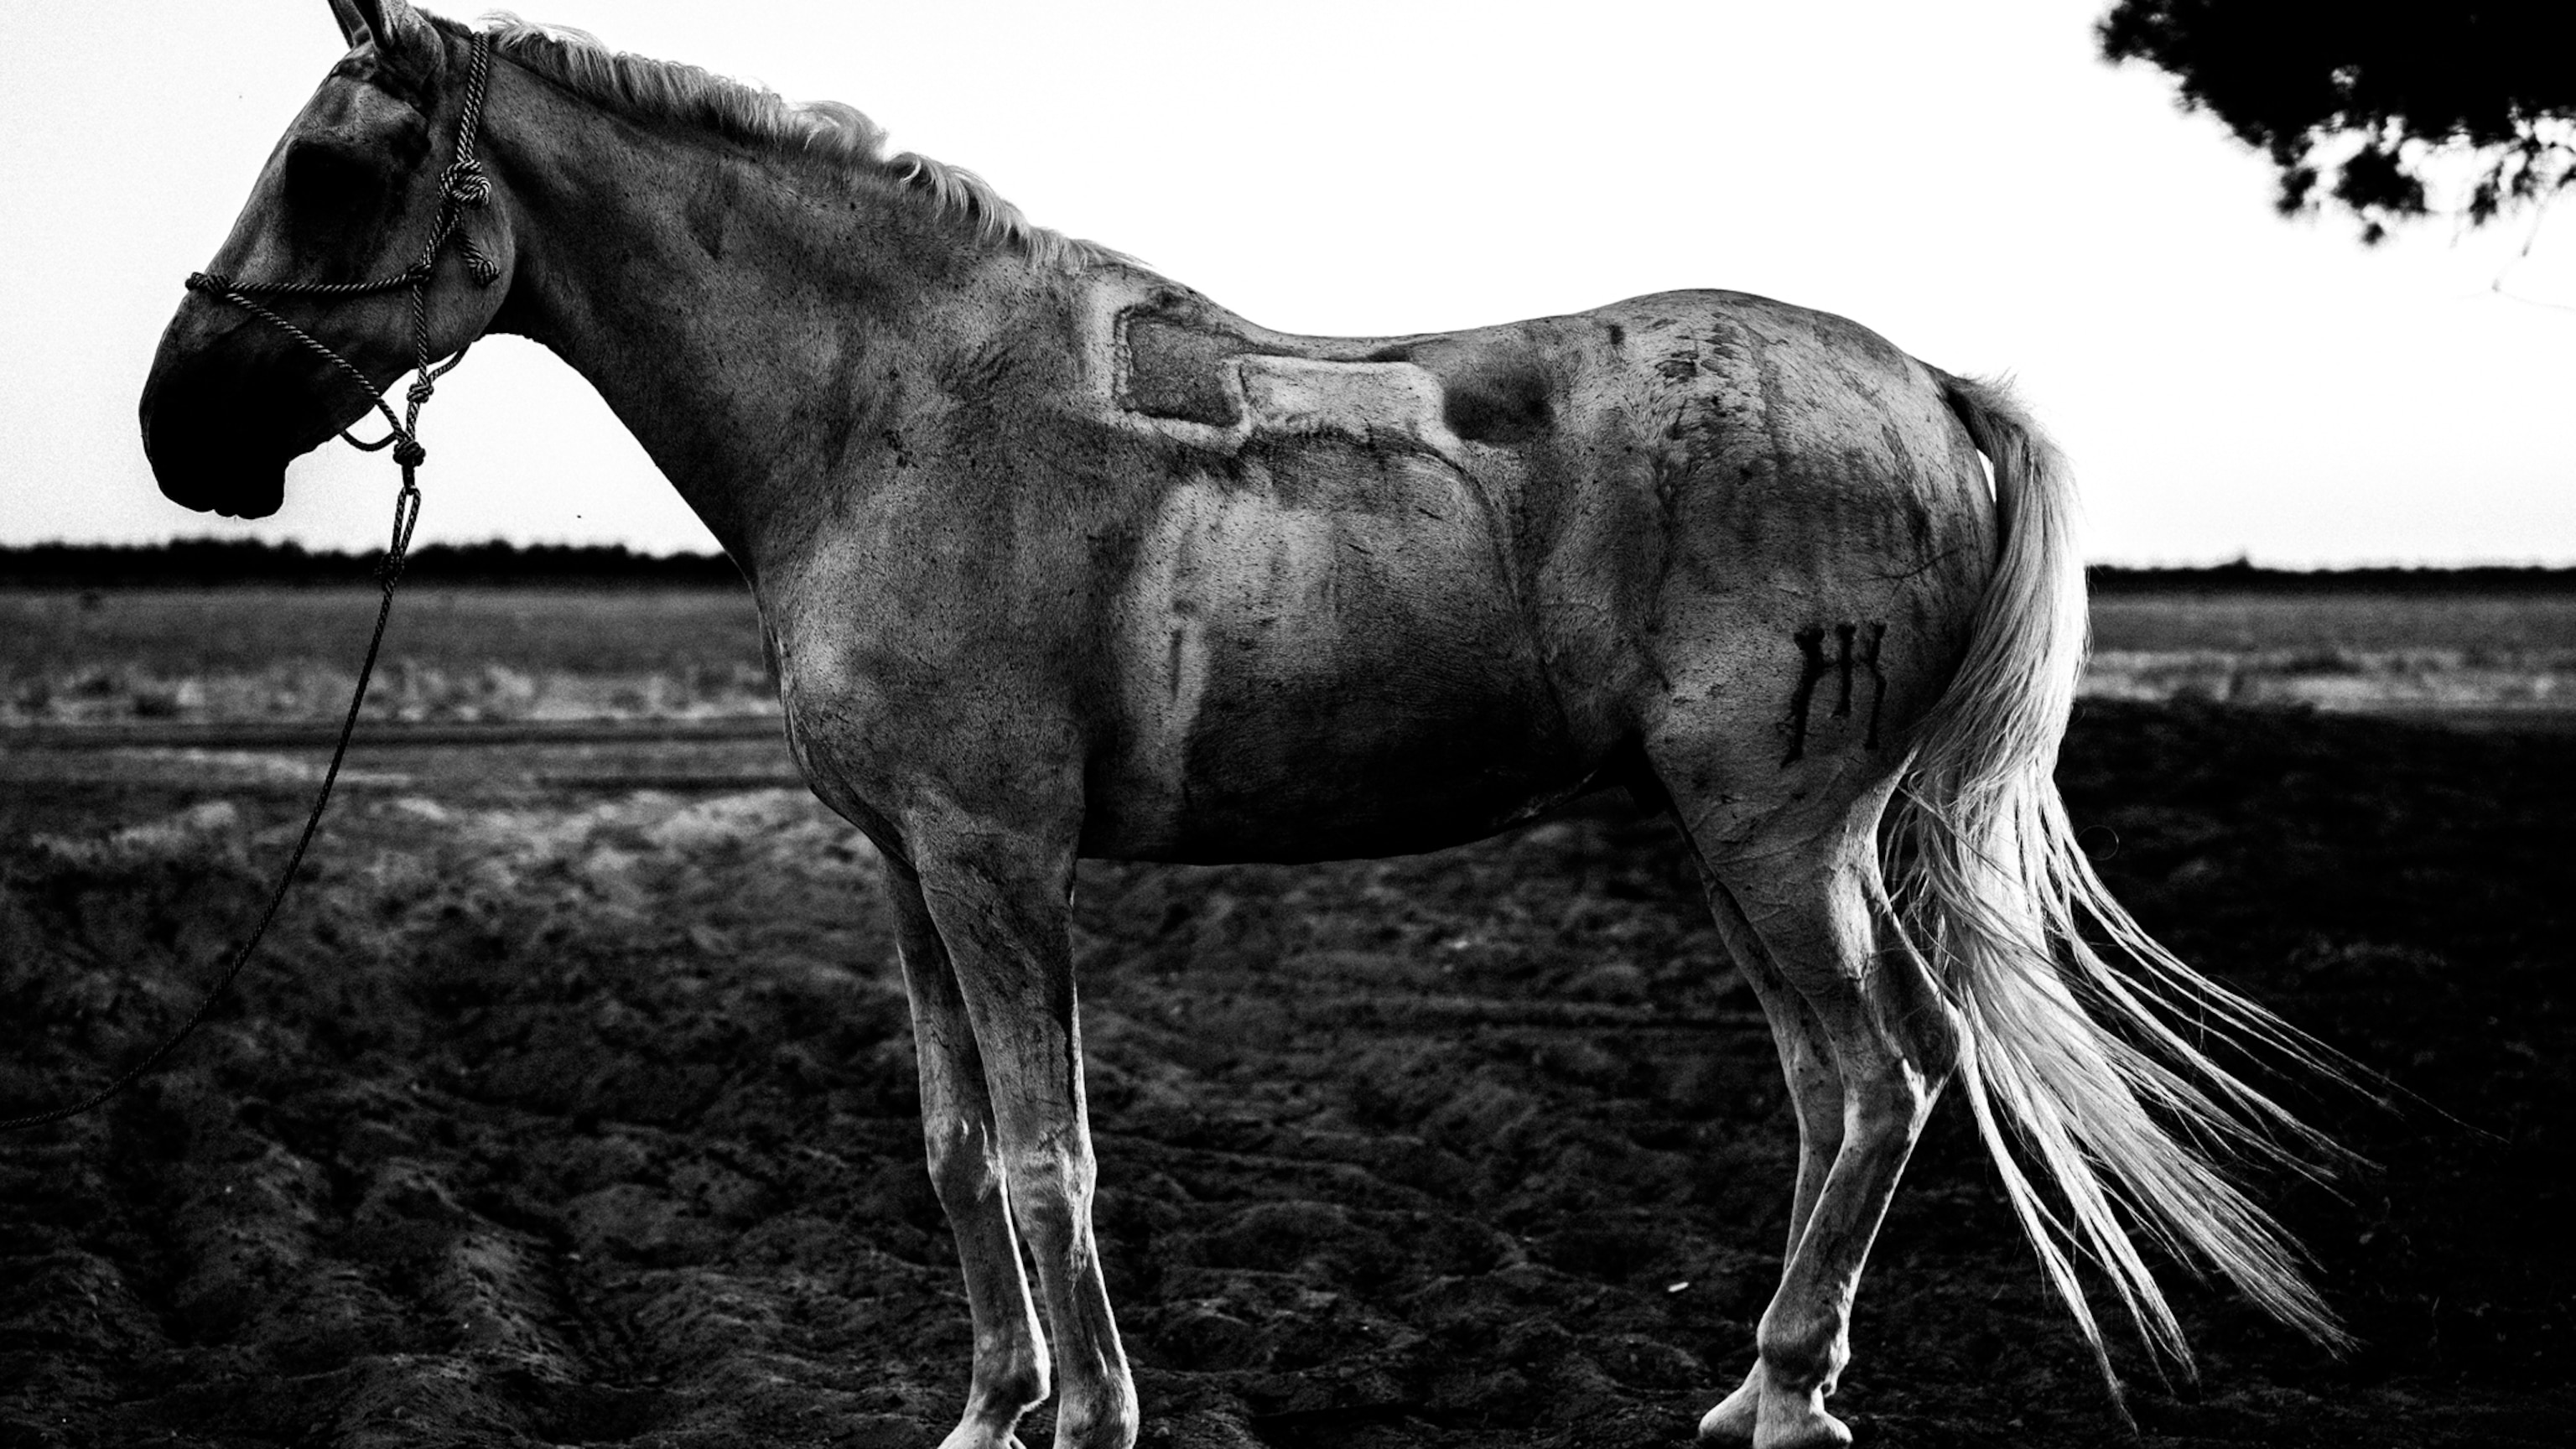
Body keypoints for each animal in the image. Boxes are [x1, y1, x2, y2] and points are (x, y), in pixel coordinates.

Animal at [140, 4, 2346, 1446]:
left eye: (332, 166)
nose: (176, 431)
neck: (892, 408)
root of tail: (1929, 387)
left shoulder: (999, 860)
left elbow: (1051, 1154)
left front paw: (1092, 1415)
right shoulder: (902, 865)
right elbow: (954, 1146)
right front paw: (988, 1409)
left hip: (1773, 836)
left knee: (1878, 1080)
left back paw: (1786, 1400)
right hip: (1770, 845)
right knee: (1858, 1083)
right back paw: (1754, 1384)